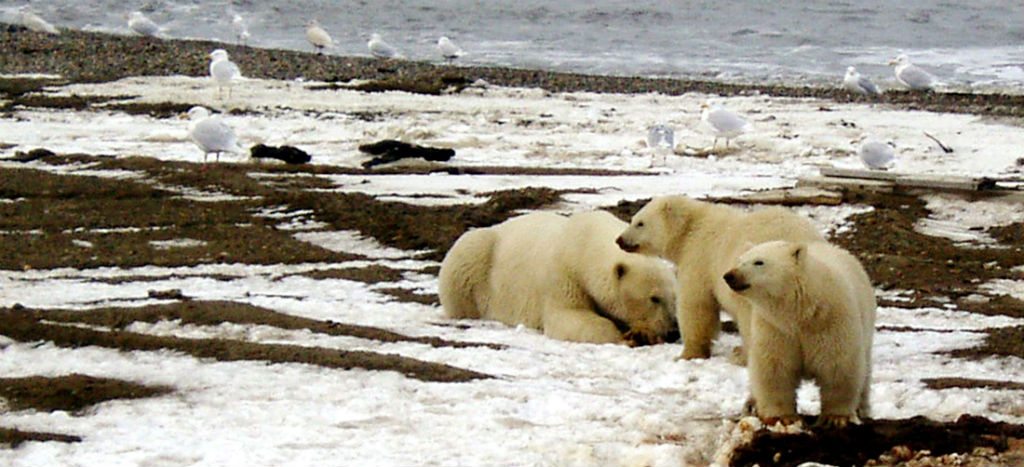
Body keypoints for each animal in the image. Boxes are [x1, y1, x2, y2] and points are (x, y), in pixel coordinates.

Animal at [436, 209, 675, 344]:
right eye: (654, 298)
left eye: (674, 297)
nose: (673, 330)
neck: (585, 244)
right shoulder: (563, 275)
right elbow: (569, 316)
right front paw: (627, 337)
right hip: (475, 258)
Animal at [614, 195, 823, 358]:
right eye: (633, 219)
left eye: (640, 223)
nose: (619, 240)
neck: (691, 228)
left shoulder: (700, 257)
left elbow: (697, 304)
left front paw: (688, 353)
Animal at [724, 240, 876, 426]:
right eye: (739, 260)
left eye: (759, 262)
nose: (729, 275)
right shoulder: (775, 328)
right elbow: (775, 367)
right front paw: (782, 417)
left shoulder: (832, 321)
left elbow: (838, 365)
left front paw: (836, 417)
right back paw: (751, 405)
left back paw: (862, 409)